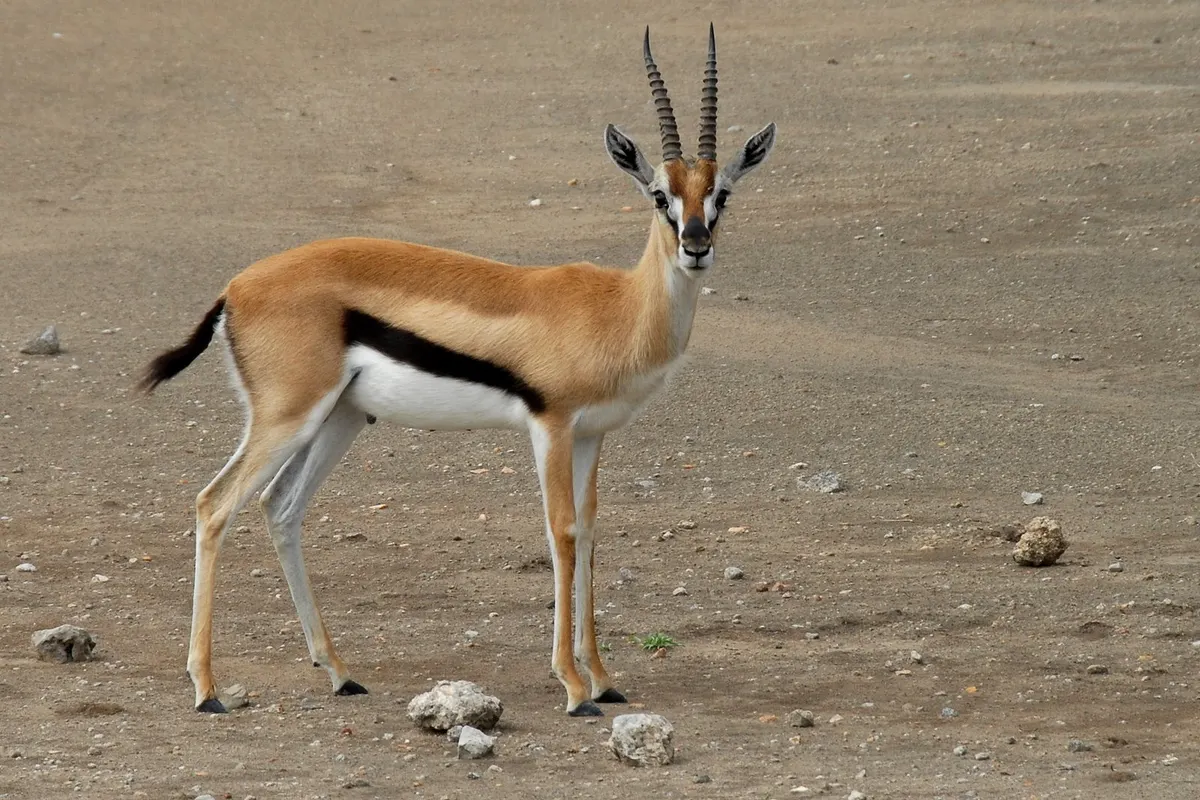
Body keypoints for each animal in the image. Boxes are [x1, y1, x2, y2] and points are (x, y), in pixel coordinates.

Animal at [141, 24, 776, 717]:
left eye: (721, 194)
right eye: (661, 194)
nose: (696, 246)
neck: (618, 308)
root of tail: (234, 288)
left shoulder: (591, 435)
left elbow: (589, 533)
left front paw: (605, 679)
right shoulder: (550, 426)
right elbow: (560, 532)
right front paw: (574, 688)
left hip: (339, 418)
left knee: (281, 507)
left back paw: (339, 672)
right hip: (288, 417)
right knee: (214, 505)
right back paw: (207, 689)